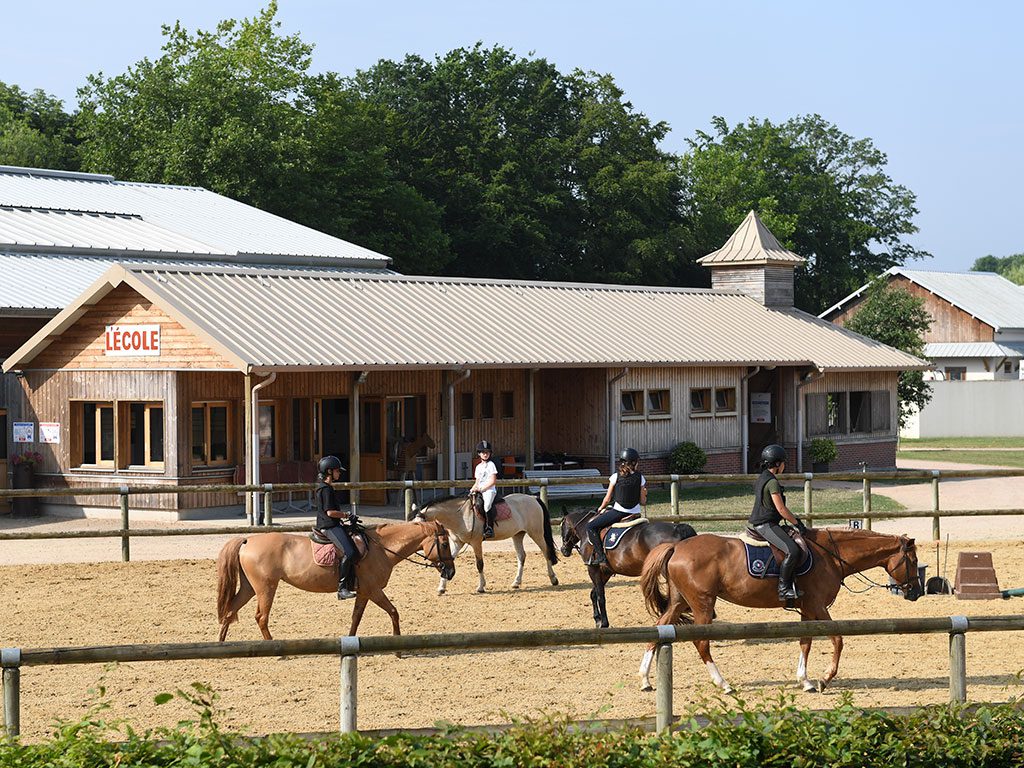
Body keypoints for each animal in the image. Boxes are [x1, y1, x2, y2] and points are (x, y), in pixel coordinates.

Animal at [218, 524, 454, 643]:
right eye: (444, 544)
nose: (451, 572)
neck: (381, 548)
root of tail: (248, 540)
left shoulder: (364, 592)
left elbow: (356, 618)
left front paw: (349, 639)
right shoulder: (374, 590)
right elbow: (394, 612)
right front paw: (397, 643)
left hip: (249, 588)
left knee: (230, 611)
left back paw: (220, 642)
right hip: (266, 588)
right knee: (261, 617)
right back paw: (273, 647)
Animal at [413, 493, 561, 593]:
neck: (460, 516)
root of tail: (533, 498)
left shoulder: (476, 542)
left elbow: (479, 564)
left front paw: (480, 587)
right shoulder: (458, 543)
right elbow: (448, 560)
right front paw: (441, 588)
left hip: (536, 533)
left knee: (546, 552)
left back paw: (553, 579)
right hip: (518, 535)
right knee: (521, 556)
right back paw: (516, 582)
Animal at [561, 505, 696, 630]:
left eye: (562, 526)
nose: (563, 550)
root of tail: (677, 529)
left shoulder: (593, 569)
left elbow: (600, 596)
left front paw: (603, 623)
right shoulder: (605, 571)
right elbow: (593, 593)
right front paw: (597, 619)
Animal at [638, 528, 921, 696]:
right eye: (914, 561)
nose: (916, 593)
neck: (831, 555)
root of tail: (677, 547)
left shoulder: (807, 609)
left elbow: (805, 642)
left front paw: (805, 680)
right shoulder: (818, 606)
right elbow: (838, 639)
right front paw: (825, 679)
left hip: (679, 602)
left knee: (659, 628)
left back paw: (645, 679)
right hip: (702, 604)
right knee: (701, 642)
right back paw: (724, 684)